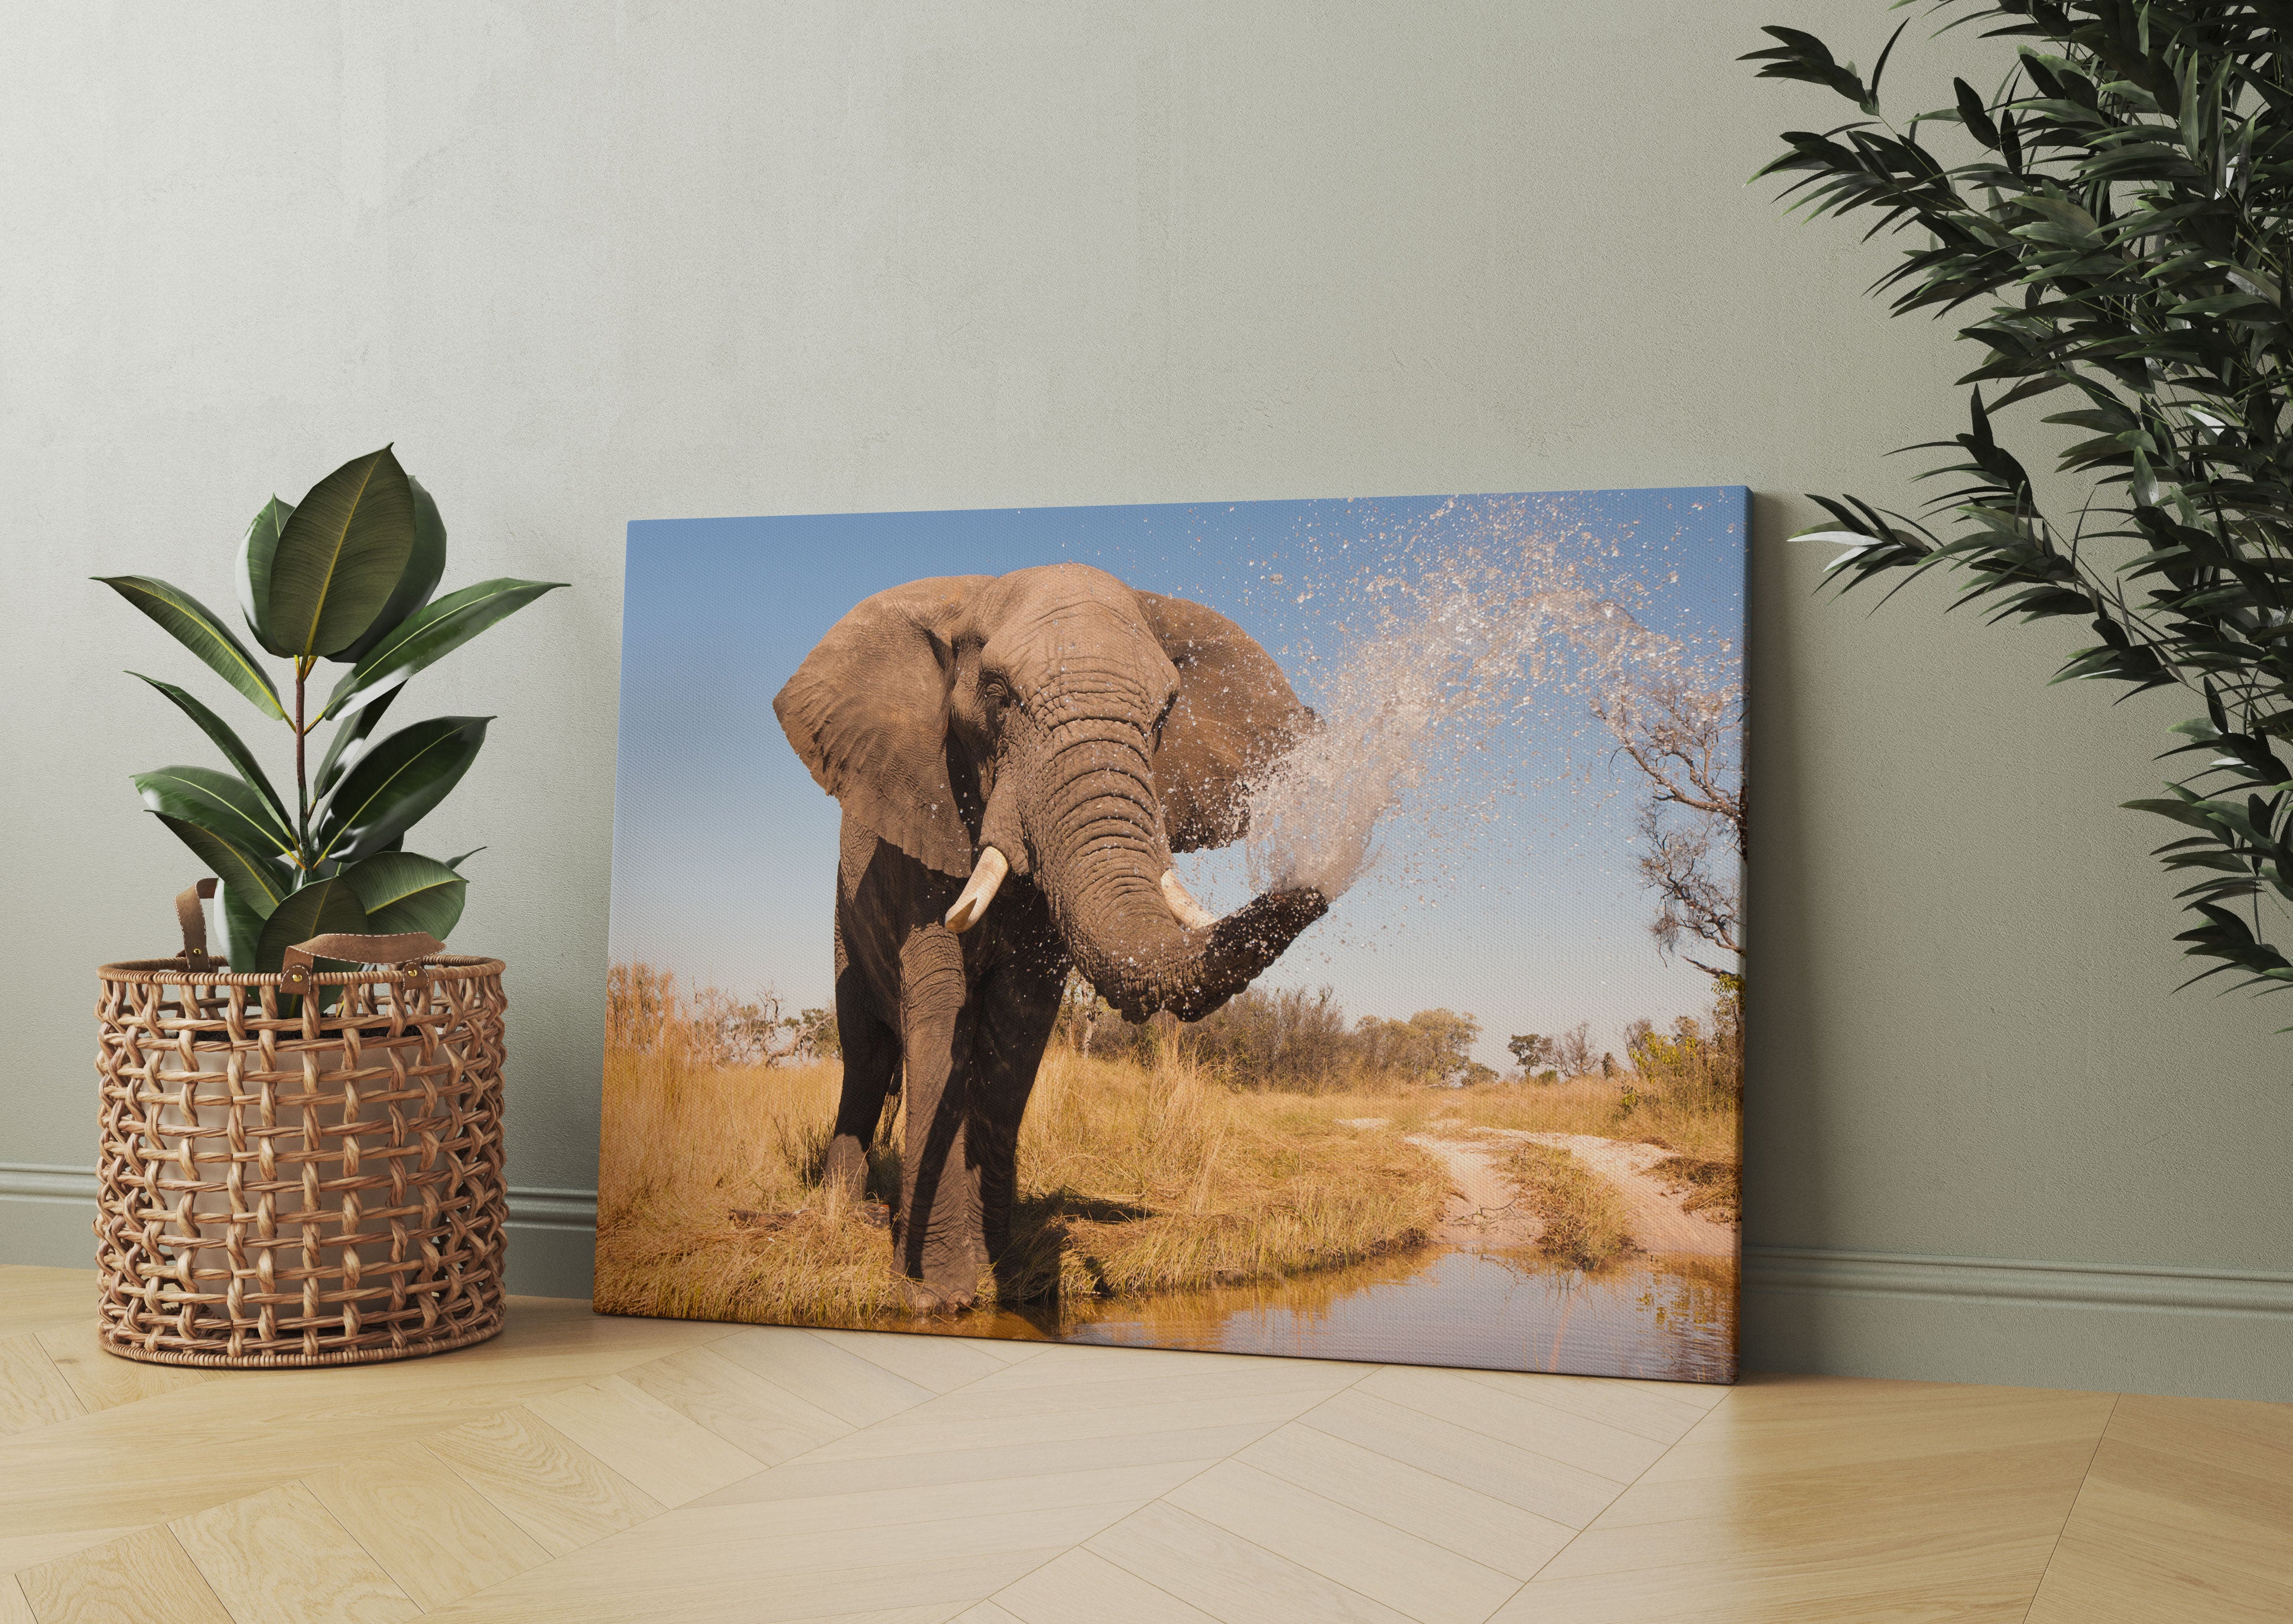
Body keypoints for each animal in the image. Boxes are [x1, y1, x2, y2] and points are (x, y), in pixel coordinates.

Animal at [780, 557, 1339, 1303]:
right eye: (997, 694)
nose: (1317, 883)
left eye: (1165, 713)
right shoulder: (920, 822)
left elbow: (1017, 1025)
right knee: (866, 1055)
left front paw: (1008, 1273)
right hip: (843, 924)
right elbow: (939, 1003)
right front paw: (937, 1293)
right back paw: (843, 1212)